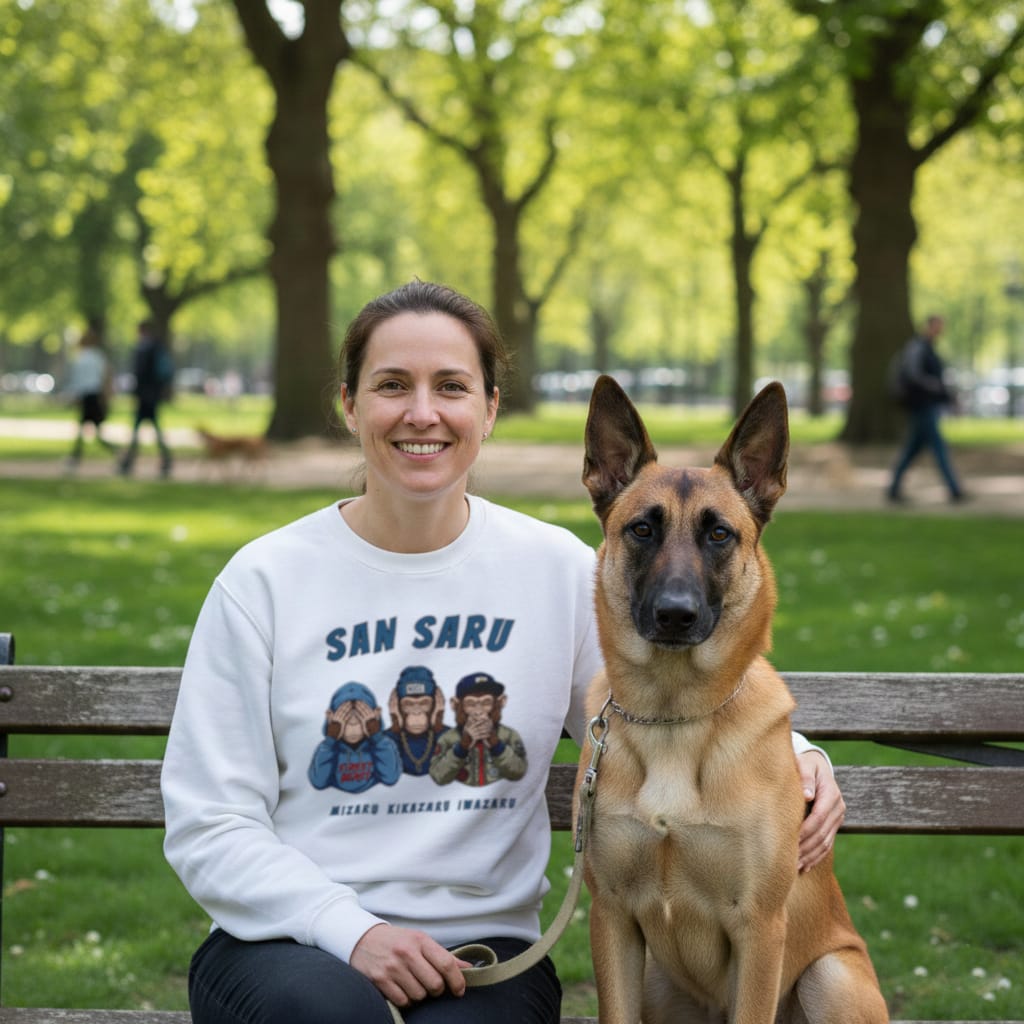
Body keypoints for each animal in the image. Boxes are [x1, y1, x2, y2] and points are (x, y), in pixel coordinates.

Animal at [575, 376, 888, 1024]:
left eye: (719, 533)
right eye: (642, 529)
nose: (675, 614)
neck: (674, 715)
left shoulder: (760, 930)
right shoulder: (611, 918)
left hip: (830, 977)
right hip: (657, 982)